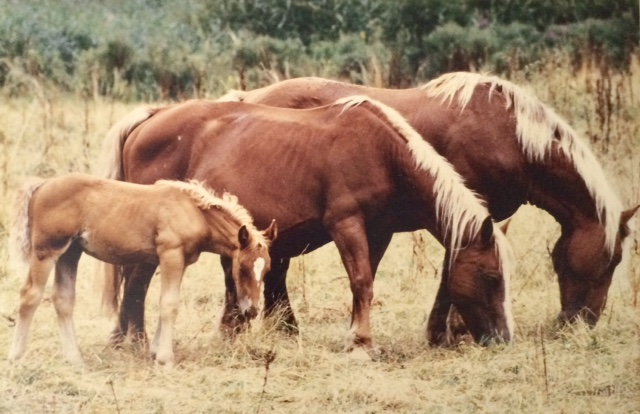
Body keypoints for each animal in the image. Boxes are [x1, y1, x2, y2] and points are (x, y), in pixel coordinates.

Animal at [6, 173, 278, 368]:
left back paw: (75, 359)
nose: (252, 310)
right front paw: (166, 359)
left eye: (266, 270)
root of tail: (42, 184)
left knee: (63, 299)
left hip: (70, 253)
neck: (194, 212)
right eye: (242, 268)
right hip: (46, 251)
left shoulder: (179, 261)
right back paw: (16, 356)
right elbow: (169, 304)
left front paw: (156, 350)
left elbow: (166, 303)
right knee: (30, 296)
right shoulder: (171, 255)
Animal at [102, 95, 516, 354]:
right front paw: (362, 343)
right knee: (137, 281)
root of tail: (152, 117)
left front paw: (356, 334)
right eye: (492, 277)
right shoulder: (346, 224)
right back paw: (133, 341)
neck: (382, 151)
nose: (503, 339)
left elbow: (365, 283)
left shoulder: (377, 232)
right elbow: (361, 281)